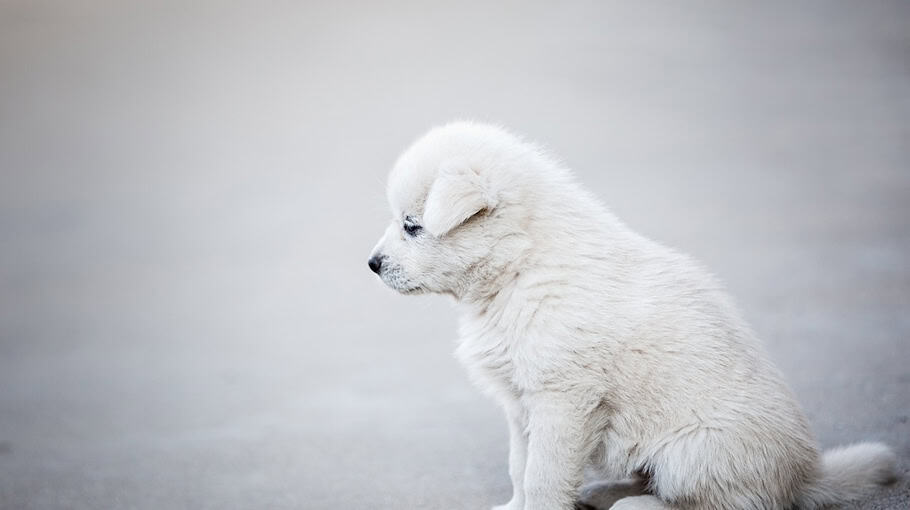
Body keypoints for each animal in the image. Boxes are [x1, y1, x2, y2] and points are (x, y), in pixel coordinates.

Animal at [368, 122, 896, 510]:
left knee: (720, 503)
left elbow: (543, 475)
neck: (521, 267)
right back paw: (604, 492)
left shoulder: (563, 399)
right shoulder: (520, 402)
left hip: (693, 452)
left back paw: (635, 505)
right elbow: (520, 466)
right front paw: (514, 506)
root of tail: (805, 476)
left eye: (412, 226)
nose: (371, 264)